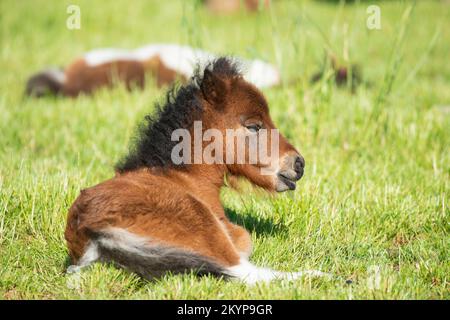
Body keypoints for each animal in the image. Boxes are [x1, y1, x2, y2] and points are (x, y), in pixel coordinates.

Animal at [64, 58, 324, 284]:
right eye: (253, 126)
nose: (298, 163)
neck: (182, 177)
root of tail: (91, 230)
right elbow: (245, 241)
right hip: (205, 230)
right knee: (243, 272)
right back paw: (319, 275)